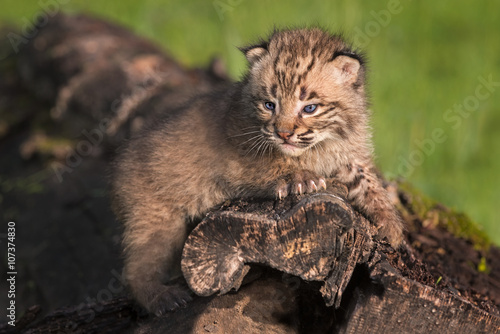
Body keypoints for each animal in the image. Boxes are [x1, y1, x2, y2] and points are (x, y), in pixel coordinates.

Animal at [111, 26, 404, 316]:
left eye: (309, 108)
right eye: (269, 105)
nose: (283, 133)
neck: (324, 142)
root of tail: (121, 162)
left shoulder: (352, 155)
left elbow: (369, 183)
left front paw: (392, 226)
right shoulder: (239, 158)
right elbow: (275, 164)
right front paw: (303, 178)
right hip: (156, 216)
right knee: (135, 268)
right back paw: (162, 297)